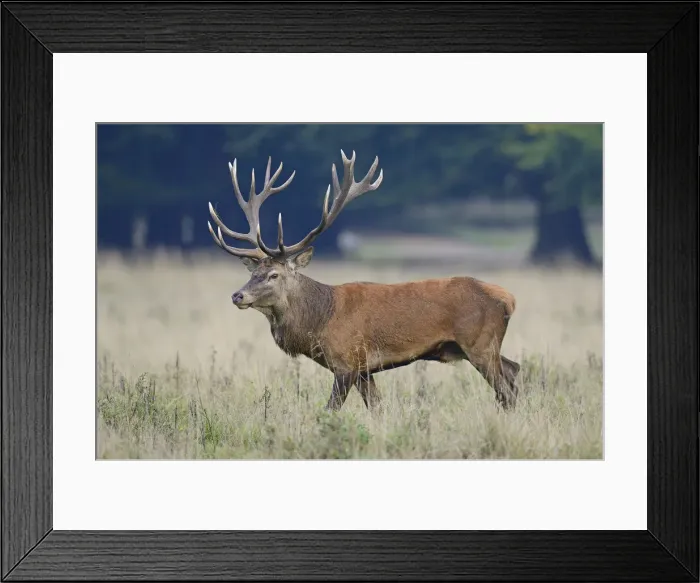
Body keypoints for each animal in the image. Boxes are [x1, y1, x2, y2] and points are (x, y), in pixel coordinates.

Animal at [207, 151, 521, 413]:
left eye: (274, 275)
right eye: (252, 274)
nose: (238, 295)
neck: (319, 321)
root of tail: (509, 299)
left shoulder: (347, 361)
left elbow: (330, 410)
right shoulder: (364, 370)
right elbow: (377, 409)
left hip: (479, 343)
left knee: (505, 389)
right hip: (478, 347)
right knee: (514, 371)